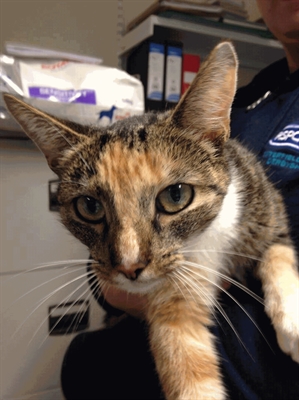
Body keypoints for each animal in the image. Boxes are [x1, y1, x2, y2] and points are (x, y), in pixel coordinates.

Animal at [2, 42, 299, 398]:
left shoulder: (262, 205)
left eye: (176, 196)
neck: (201, 242)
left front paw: (293, 323)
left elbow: (277, 252)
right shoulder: (173, 294)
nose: (129, 267)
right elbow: (185, 361)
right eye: (89, 206)